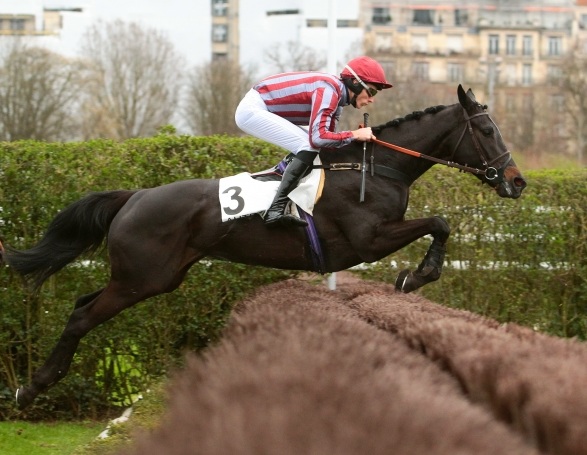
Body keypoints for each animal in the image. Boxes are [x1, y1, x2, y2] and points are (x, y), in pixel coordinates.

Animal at [4, 85, 528, 410]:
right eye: (486, 130)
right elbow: (440, 221)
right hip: (141, 278)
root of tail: (134, 196)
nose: (517, 181)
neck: (374, 166)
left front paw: (417, 274)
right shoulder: (368, 240)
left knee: (81, 303)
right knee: (81, 317)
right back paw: (32, 388)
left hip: (153, 277)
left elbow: (440, 223)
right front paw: (416, 275)